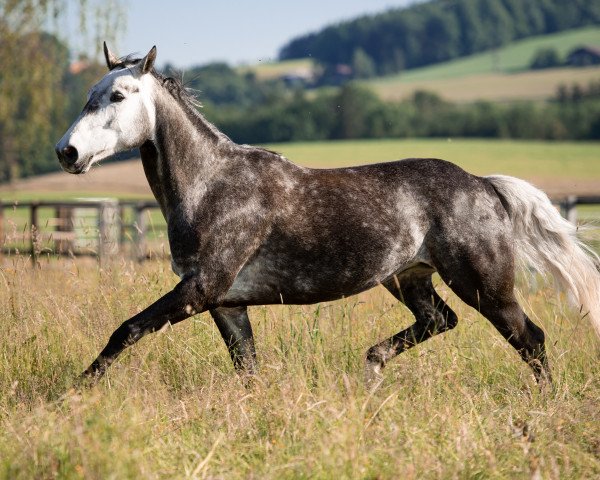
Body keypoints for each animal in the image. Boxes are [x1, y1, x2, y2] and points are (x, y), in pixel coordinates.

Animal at [56, 45, 600, 388]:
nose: (67, 152)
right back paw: (372, 365)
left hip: (484, 283)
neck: (211, 186)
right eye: (88, 96)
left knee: (530, 338)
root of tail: (483, 185)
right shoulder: (225, 303)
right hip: (408, 277)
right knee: (439, 319)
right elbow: (247, 368)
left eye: (118, 96)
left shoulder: (199, 289)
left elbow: (126, 330)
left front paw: (73, 393)